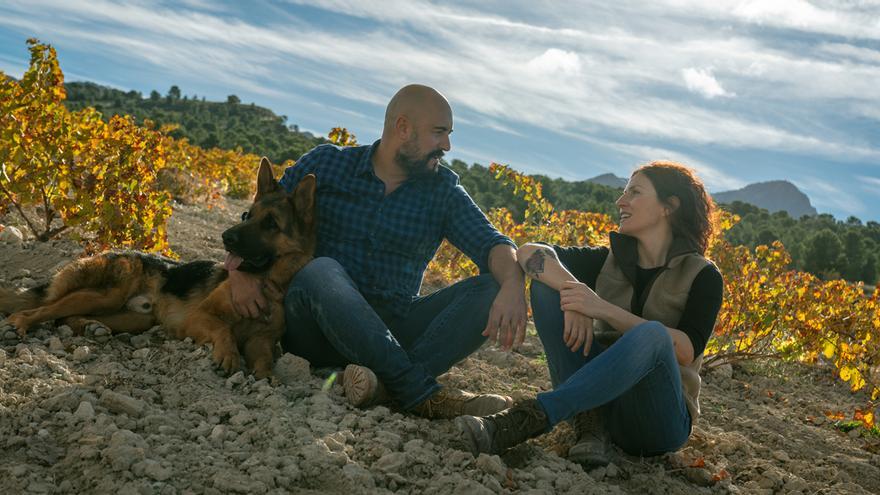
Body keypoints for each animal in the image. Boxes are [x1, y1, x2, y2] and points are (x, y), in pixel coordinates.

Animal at [0, 159, 316, 380]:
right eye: (247, 215)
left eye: (271, 223)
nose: (226, 237)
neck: (266, 283)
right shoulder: (200, 317)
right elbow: (224, 329)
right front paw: (227, 355)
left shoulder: (261, 341)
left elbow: (264, 359)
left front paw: (267, 377)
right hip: (107, 295)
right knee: (41, 310)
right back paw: (18, 325)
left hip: (134, 318)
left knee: (65, 317)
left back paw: (90, 326)